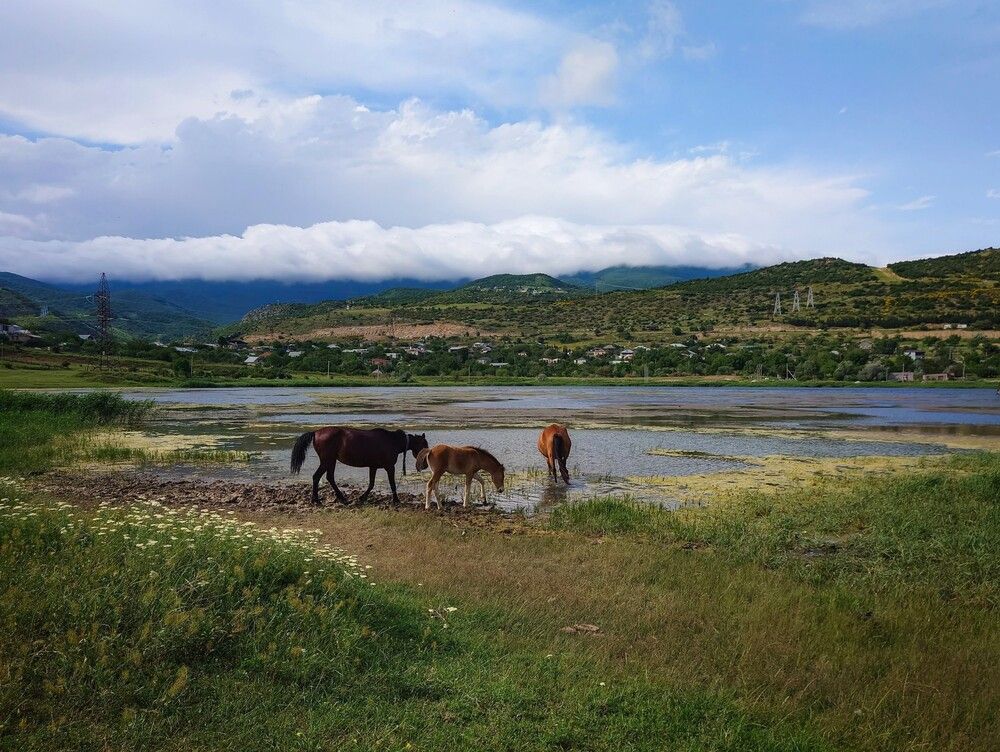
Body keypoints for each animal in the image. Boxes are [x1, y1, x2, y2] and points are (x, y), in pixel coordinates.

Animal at [290, 427, 428, 505]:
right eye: (425, 446)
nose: (426, 465)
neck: (392, 441)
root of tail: (316, 432)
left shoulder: (373, 467)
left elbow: (371, 484)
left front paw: (362, 498)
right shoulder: (389, 467)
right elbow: (392, 484)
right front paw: (396, 500)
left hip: (331, 461)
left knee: (329, 478)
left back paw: (341, 498)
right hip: (327, 461)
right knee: (317, 477)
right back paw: (317, 500)